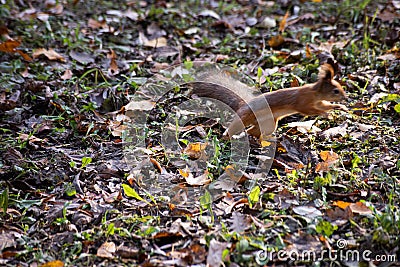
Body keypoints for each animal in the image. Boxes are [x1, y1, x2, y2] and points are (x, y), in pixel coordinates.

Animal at [188, 62, 346, 138]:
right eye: (335, 90)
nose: (345, 97)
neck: (314, 93)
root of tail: (244, 104)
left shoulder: (319, 102)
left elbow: (324, 105)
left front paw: (338, 108)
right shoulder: (302, 101)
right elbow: (308, 110)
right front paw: (325, 114)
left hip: (269, 123)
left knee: (253, 131)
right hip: (245, 117)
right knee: (235, 128)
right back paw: (227, 137)